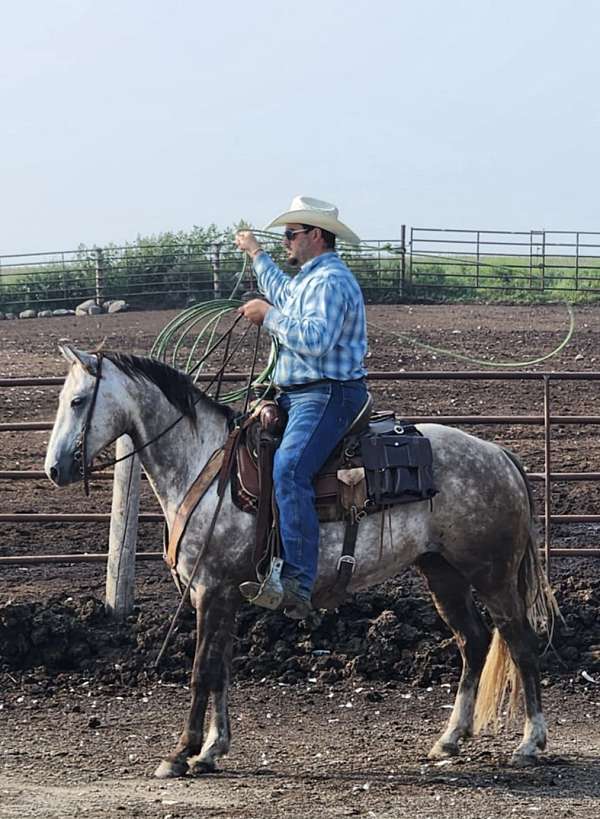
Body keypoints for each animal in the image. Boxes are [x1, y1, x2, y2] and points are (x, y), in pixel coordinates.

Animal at [44, 344, 556, 776]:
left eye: (78, 401)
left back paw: (530, 743)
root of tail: (499, 454)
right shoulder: (223, 596)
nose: (53, 469)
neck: (203, 468)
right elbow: (220, 669)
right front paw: (212, 749)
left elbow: (201, 670)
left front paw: (181, 753)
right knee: (473, 641)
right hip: (442, 571)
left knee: (520, 643)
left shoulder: (212, 590)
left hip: (492, 574)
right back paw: (449, 738)